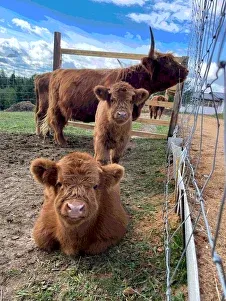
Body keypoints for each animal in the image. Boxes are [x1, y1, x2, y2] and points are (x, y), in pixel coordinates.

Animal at [42, 27, 187, 145]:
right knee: (56, 122)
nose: (186, 70)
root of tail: (57, 71)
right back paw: (62, 141)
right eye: (167, 62)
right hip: (56, 105)